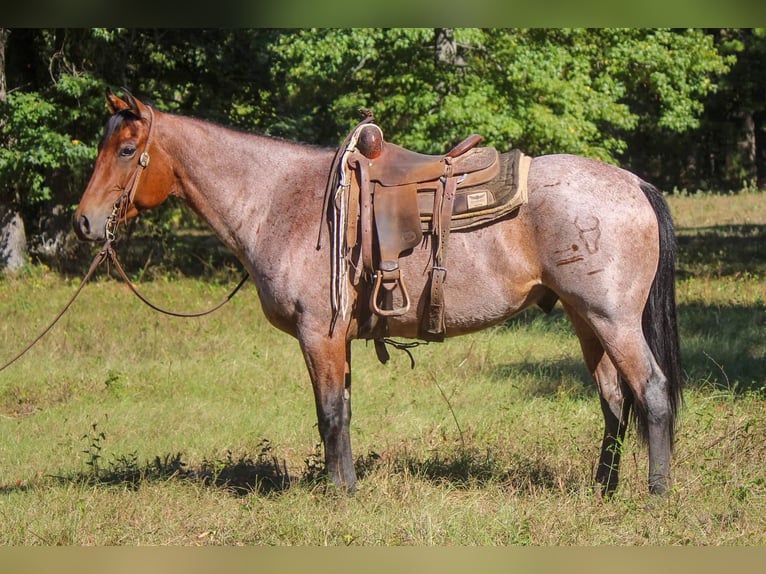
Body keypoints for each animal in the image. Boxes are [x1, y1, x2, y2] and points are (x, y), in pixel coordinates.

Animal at [73, 91, 684, 500]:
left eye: (126, 149)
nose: (84, 222)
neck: (280, 202)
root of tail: (634, 183)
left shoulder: (318, 334)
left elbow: (329, 414)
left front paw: (339, 496)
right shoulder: (335, 338)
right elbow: (342, 410)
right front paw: (347, 485)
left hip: (612, 320)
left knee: (650, 391)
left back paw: (655, 494)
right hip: (586, 320)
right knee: (613, 400)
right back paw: (602, 489)